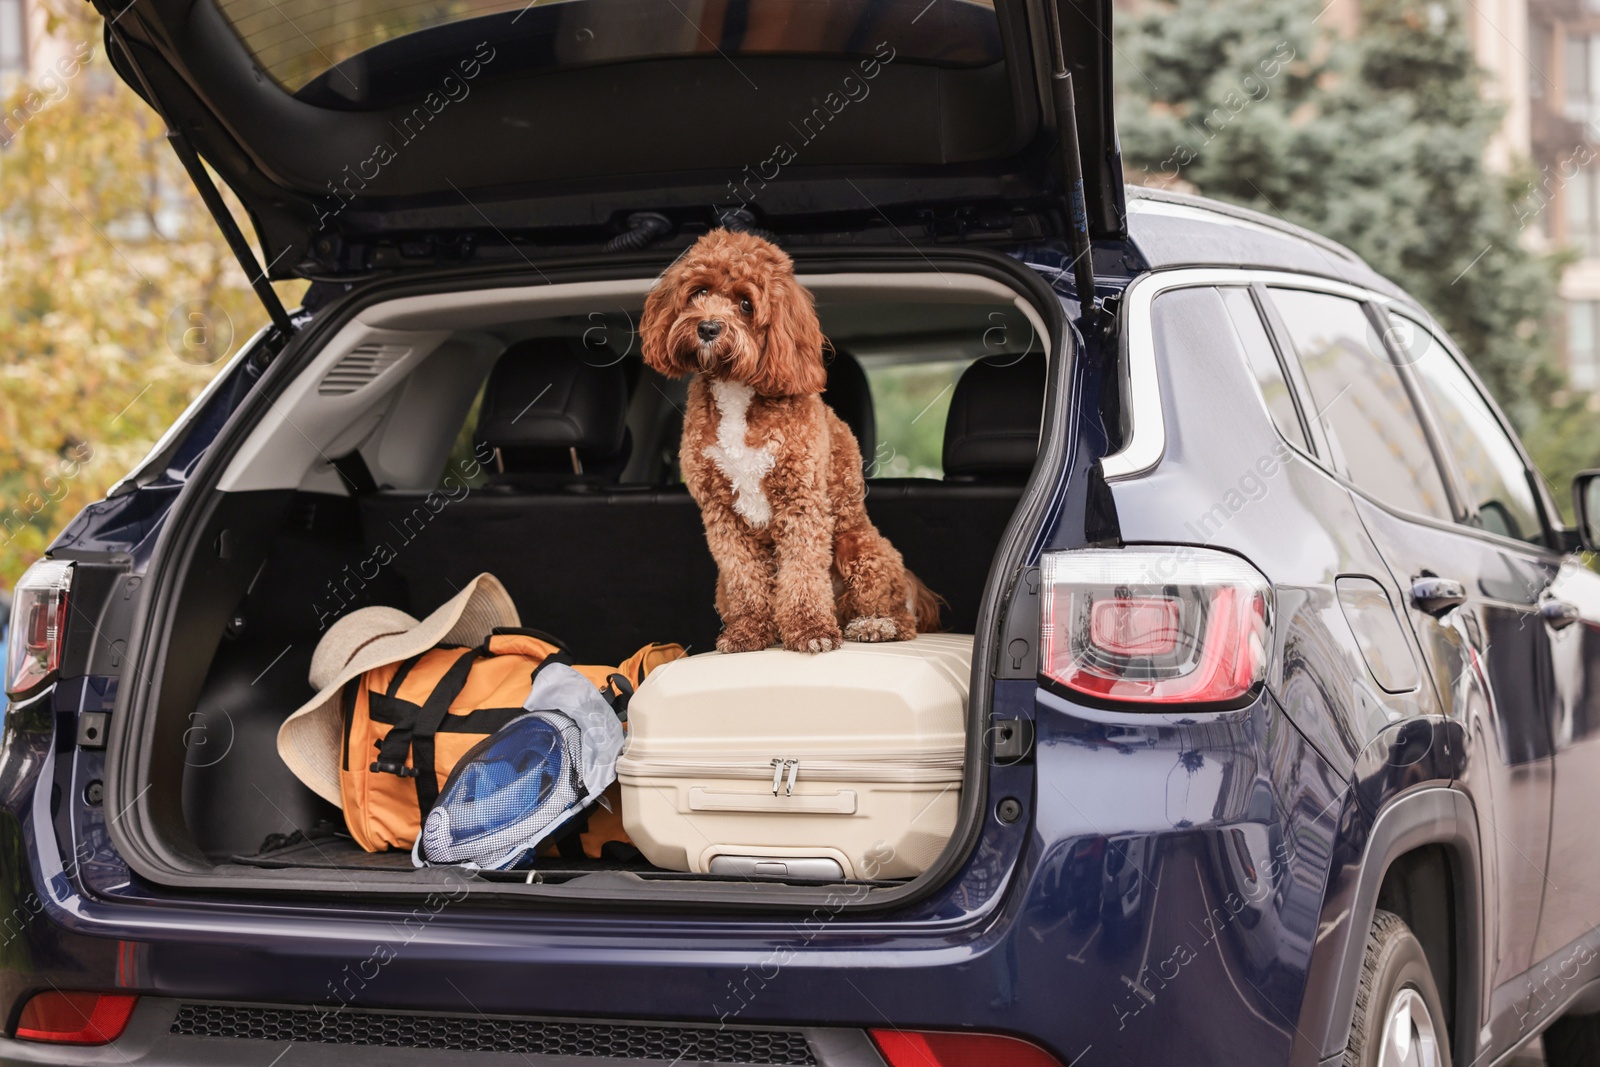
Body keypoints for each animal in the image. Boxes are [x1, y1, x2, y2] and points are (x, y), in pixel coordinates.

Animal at [636, 230, 934, 655]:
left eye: (746, 303)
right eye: (699, 292)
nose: (708, 327)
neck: (736, 390)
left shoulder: (800, 500)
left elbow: (803, 572)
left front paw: (810, 630)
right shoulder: (722, 513)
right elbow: (746, 576)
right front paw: (749, 631)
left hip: (861, 549)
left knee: (898, 615)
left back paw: (875, 625)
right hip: (724, 584)